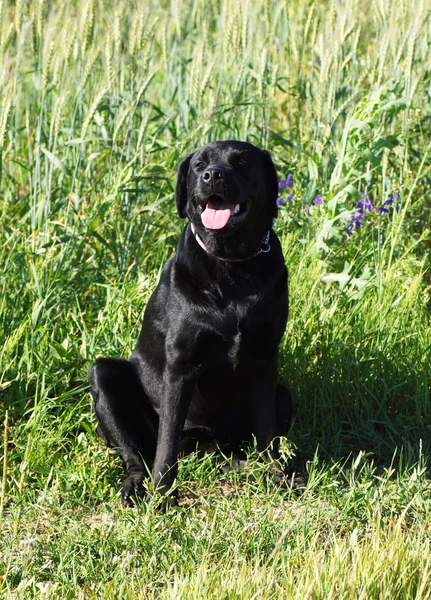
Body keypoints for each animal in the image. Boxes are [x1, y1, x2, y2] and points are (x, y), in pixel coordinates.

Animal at [89, 141, 292, 506]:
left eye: (241, 162)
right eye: (199, 165)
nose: (213, 175)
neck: (232, 267)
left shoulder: (267, 357)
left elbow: (268, 433)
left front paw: (276, 477)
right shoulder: (180, 367)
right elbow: (166, 444)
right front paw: (162, 497)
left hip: (283, 396)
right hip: (104, 377)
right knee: (135, 452)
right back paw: (135, 485)